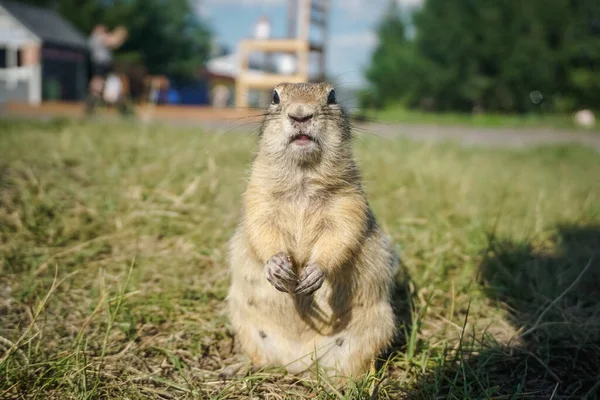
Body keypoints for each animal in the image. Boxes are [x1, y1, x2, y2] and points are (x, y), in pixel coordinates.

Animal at [225, 82, 398, 384]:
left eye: (332, 95)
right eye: (274, 96)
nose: (300, 114)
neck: (302, 179)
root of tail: (297, 363)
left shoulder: (348, 201)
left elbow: (341, 234)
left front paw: (314, 272)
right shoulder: (258, 196)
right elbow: (261, 228)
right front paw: (277, 266)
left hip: (376, 328)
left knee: (356, 367)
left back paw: (350, 385)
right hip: (244, 323)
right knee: (260, 359)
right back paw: (238, 368)